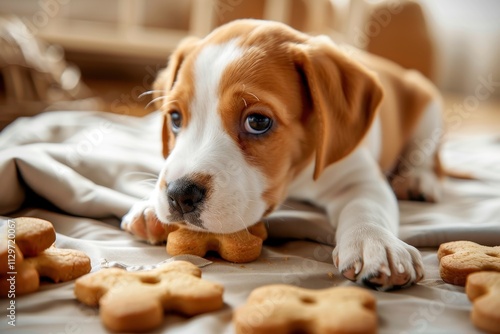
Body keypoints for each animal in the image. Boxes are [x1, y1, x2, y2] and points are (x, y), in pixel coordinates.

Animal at [123, 18, 444, 290]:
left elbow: (367, 207)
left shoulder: (359, 178)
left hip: (429, 109)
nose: (179, 194)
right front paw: (149, 207)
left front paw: (376, 243)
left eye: (257, 122)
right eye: (175, 118)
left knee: (429, 157)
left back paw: (417, 181)